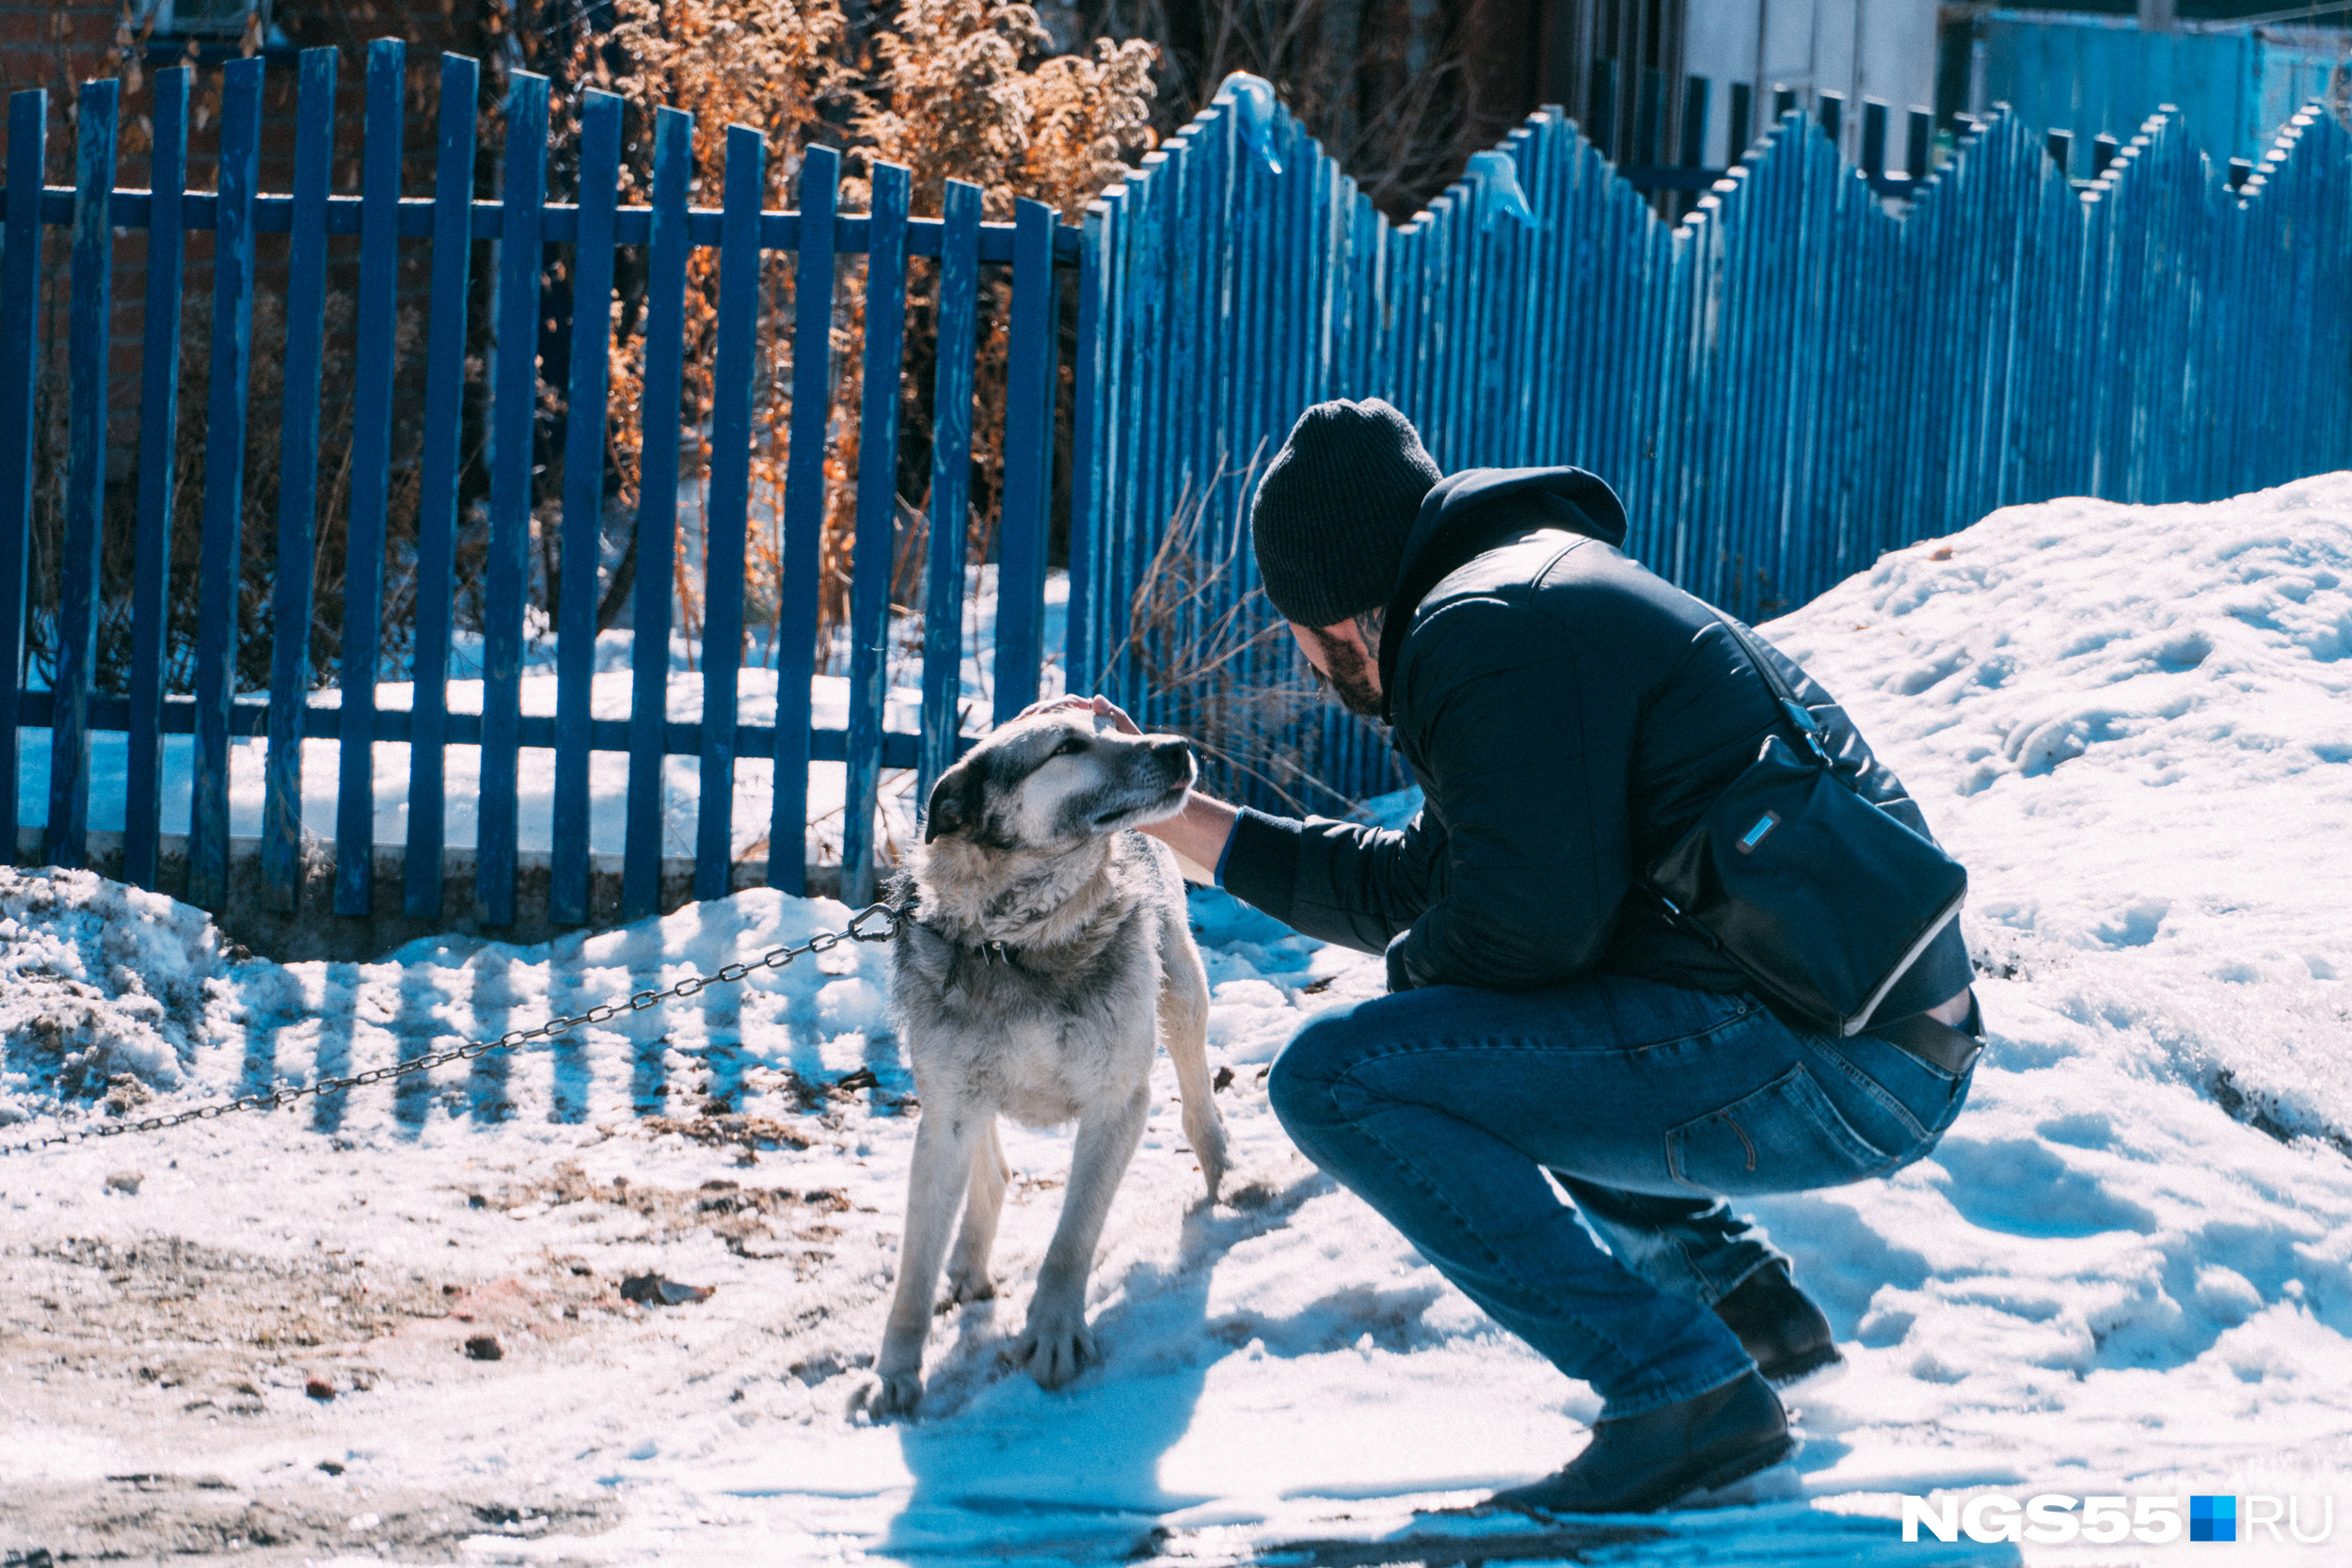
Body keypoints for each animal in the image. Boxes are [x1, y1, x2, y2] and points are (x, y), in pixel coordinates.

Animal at [866, 705, 1232, 1419]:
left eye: (1109, 732)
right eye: (1067, 747)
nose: (1178, 748)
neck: (1022, 944)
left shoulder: (1118, 1104)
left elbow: (1073, 1236)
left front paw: (1056, 1330)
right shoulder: (946, 1116)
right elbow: (914, 1266)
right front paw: (894, 1372)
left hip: (1182, 994)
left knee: (1199, 1098)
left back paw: (1225, 1182)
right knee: (993, 1169)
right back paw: (969, 1263)